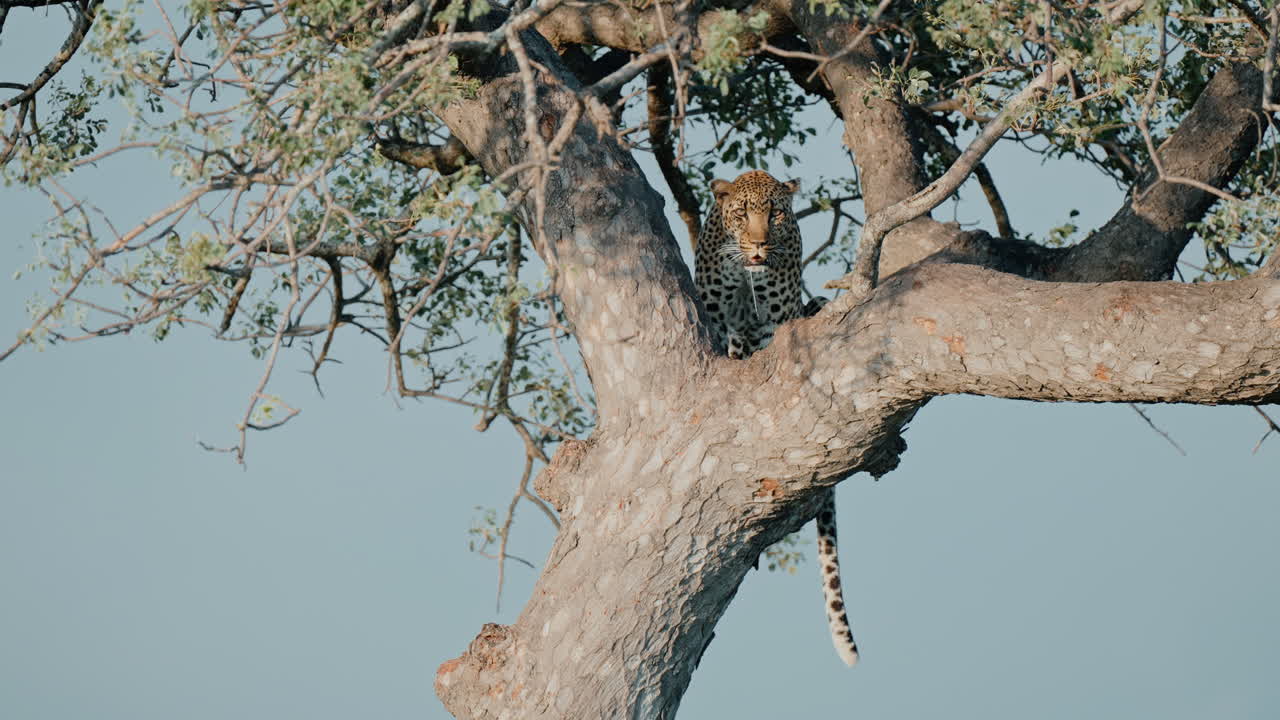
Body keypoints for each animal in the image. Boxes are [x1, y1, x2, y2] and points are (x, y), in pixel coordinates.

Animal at [693, 169, 860, 667]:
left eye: (777, 214)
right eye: (742, 213)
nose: (759, 244)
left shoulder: (775, 321)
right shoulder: (716, 319)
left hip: (813, 305)